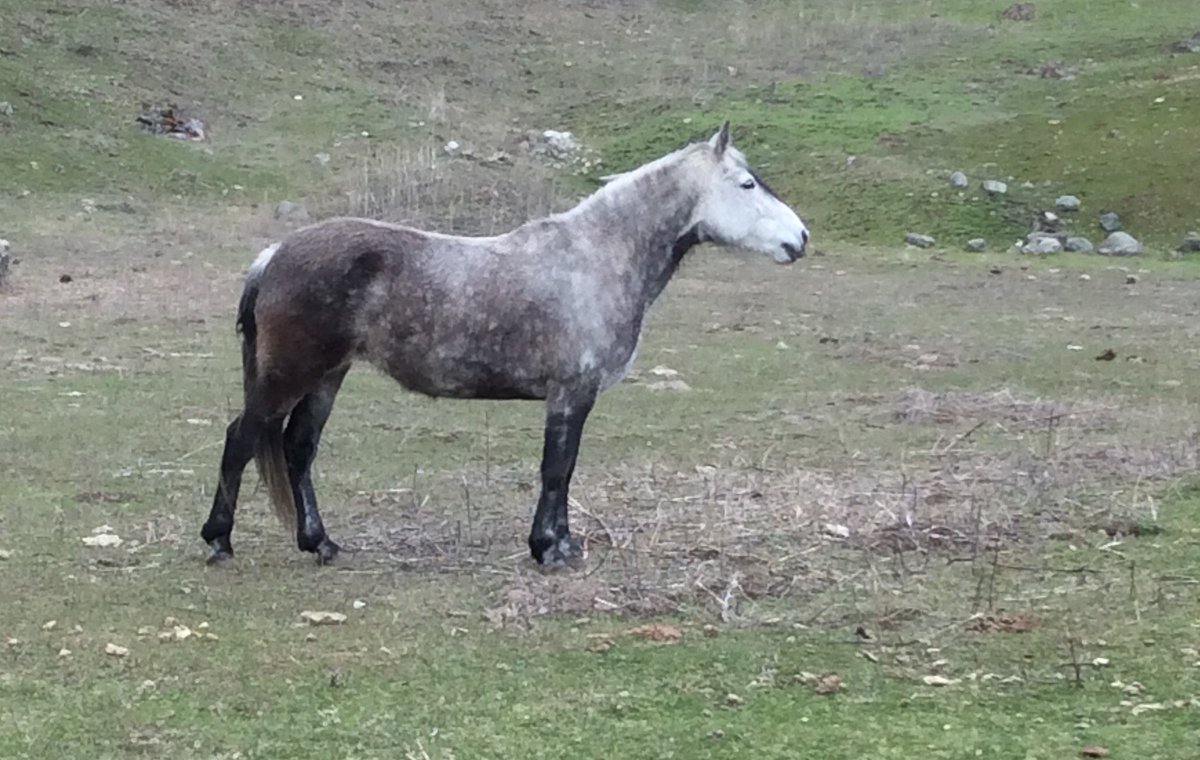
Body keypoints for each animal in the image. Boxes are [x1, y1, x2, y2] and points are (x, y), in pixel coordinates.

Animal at [199, 122, 810, 567]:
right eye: (747, 184)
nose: (800, 239)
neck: (594, 258)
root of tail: (275, 253)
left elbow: (564, 470)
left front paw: (560, 543)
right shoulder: (570, 393)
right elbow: (557, 469)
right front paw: (551, 550)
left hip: (328, 375)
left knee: (298, 449)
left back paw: (320, 542)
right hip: (289, 376)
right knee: (242, 438)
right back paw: (218, 540)